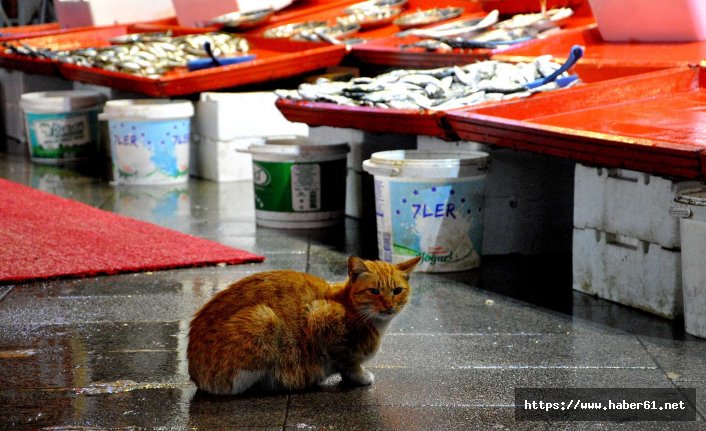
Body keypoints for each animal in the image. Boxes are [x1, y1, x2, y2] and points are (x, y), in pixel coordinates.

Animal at [186, 256, 418, 394]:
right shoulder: (318, 317)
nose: (389, 306)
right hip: (263, 318)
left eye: (397, 291)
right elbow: (349, 362)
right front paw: (360, 377)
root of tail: (194, 374)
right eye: (374, 291)